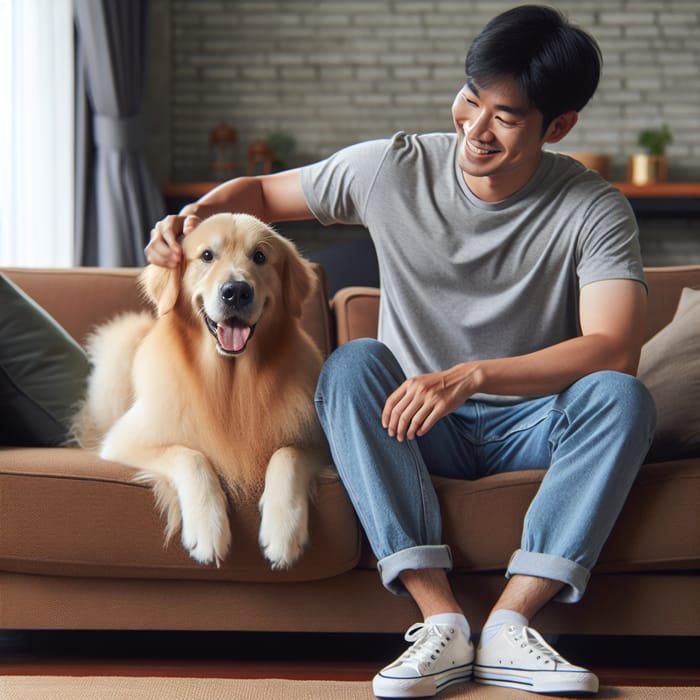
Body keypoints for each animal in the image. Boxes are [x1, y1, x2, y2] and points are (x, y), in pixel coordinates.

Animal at [72, 212, 330, 568]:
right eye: (207, 255)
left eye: (260, 257)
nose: (236, 292)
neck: (229, 382)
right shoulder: (124, 440)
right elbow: (190, 456)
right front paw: (208, 530)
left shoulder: (319, 441)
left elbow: (287, 453)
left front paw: (283, 532)